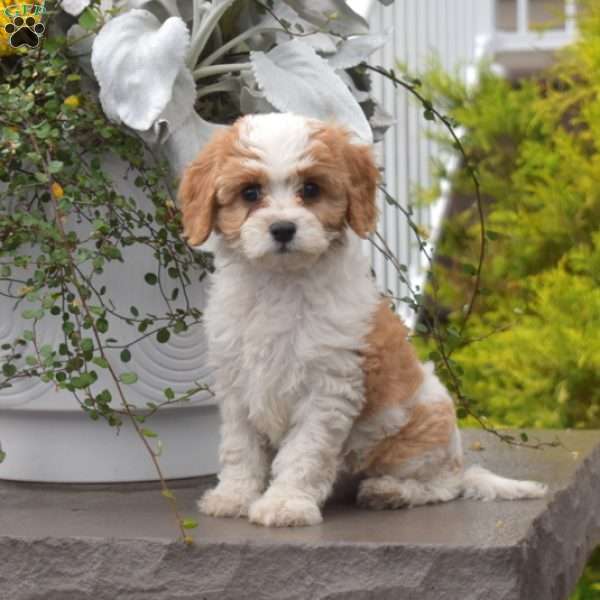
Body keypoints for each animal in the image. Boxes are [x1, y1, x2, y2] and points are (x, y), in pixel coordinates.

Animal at [176, 112, 548, 524]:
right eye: (250, 193)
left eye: (311, 189)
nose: (284, 229)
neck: (280, 283)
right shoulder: (237, 384)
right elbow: (241, 448)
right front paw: (235, 496)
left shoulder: (327, 389)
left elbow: (303, 452)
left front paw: (285, 503)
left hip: (421, 435)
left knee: (443, 486)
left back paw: (391, 491)